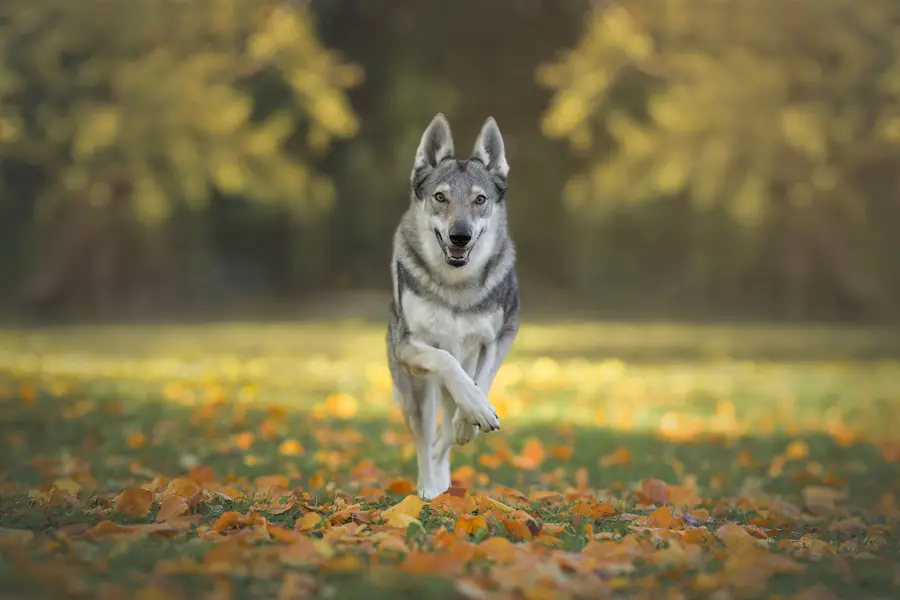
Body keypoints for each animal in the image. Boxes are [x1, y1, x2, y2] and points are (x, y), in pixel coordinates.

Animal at [386, 113, 520, 502]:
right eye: (440, 197)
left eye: (480, 199)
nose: (460, 236)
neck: (457, 287)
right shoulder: (410, 347)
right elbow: (447, 361)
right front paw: (472, 411)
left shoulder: (501, 335)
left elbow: (482, 381)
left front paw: (474, 416)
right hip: (418, 393)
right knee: (425, 442)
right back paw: (430, 489)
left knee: (444, 439)